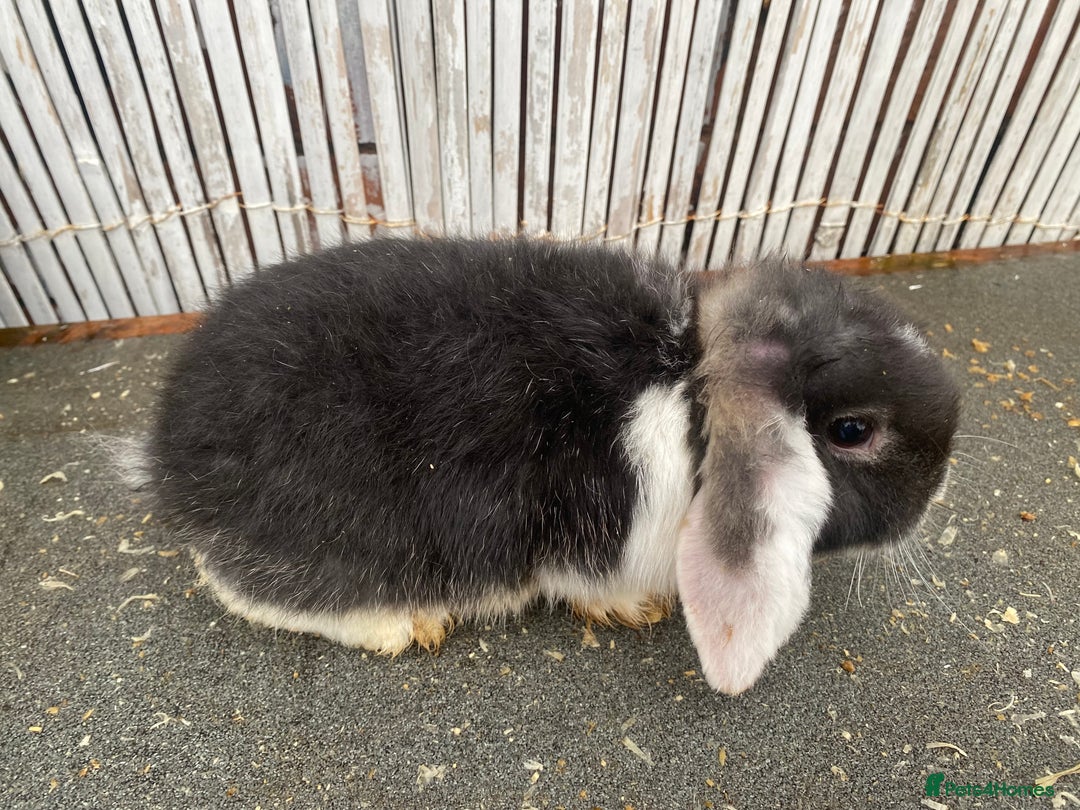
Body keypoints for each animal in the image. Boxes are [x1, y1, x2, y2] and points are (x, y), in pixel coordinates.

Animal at [128, 236, 960, 695]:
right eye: (852, 430)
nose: (942, 481)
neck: (687, 388)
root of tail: (168, 447)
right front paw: (635, 609)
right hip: (331, 544)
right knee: (250, 590)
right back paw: (402, 627)